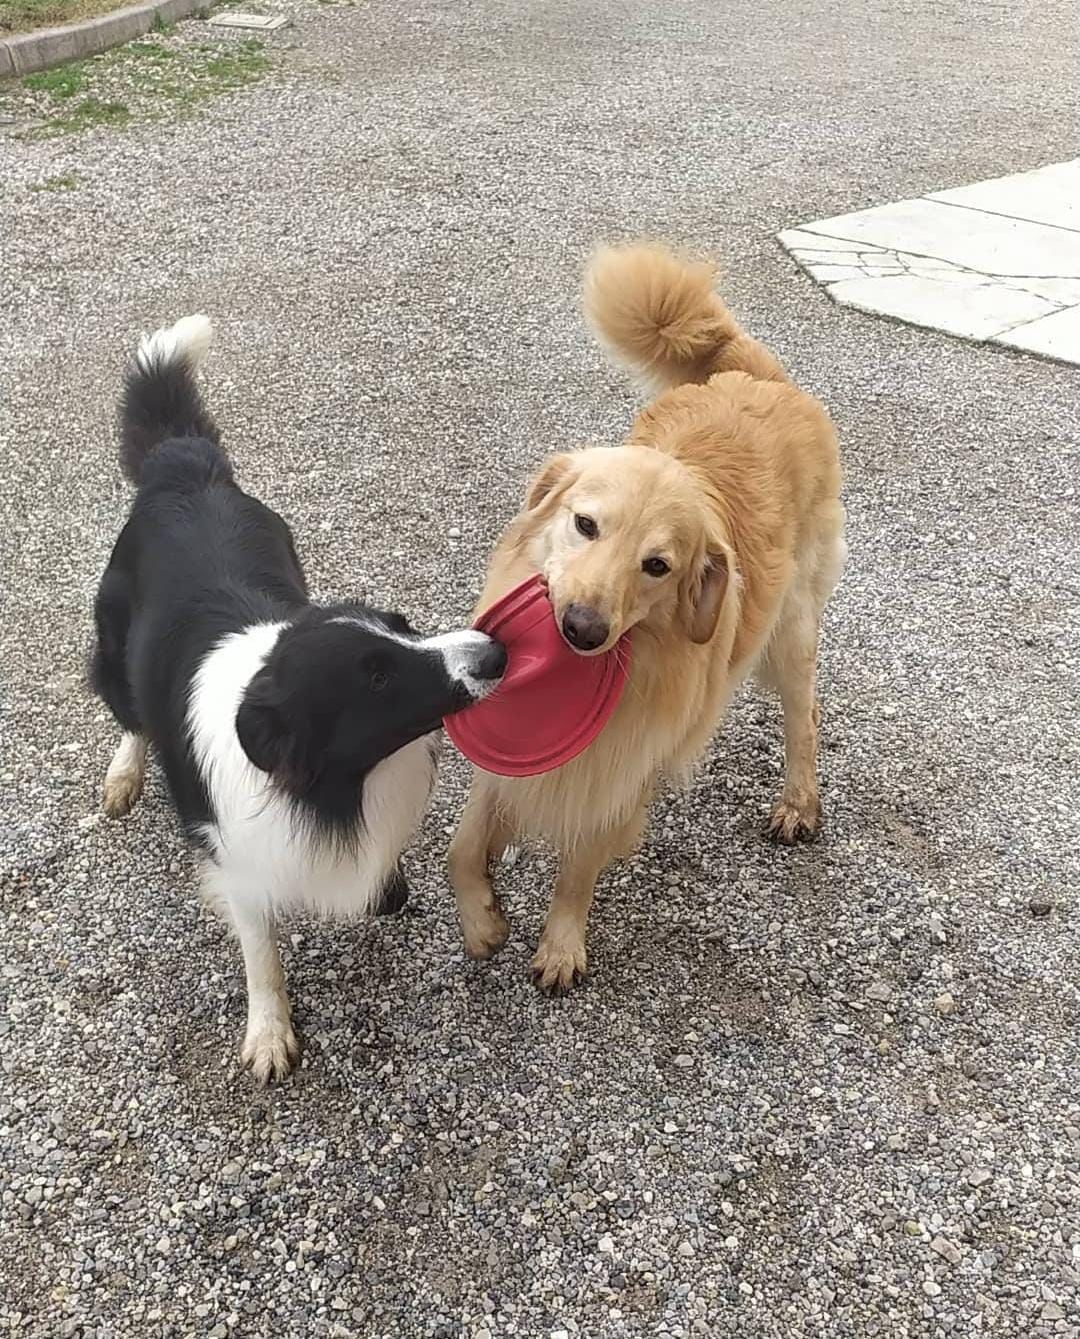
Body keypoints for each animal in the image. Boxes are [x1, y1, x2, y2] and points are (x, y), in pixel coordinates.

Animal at [89, 318, 505, 1081]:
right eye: (375, 678)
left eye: (403, 626)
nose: (495, 653)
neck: (339, 785)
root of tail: (181, 464)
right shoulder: (239, 862)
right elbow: (261, 956)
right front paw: (269, 1033)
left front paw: (395, 894)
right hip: (112, 647)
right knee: (127, 712)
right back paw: (124, 773)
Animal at [452, 246, 851, 990]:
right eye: (585, 524)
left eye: (658, 566)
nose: (581, 630)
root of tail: (754, 377)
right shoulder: (509, 757)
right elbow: (462, 845)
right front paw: (482, 919)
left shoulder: (621, 770)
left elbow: (579, 865)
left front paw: (561, 944)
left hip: (790, 632)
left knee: (803, 717)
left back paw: (798, 802)